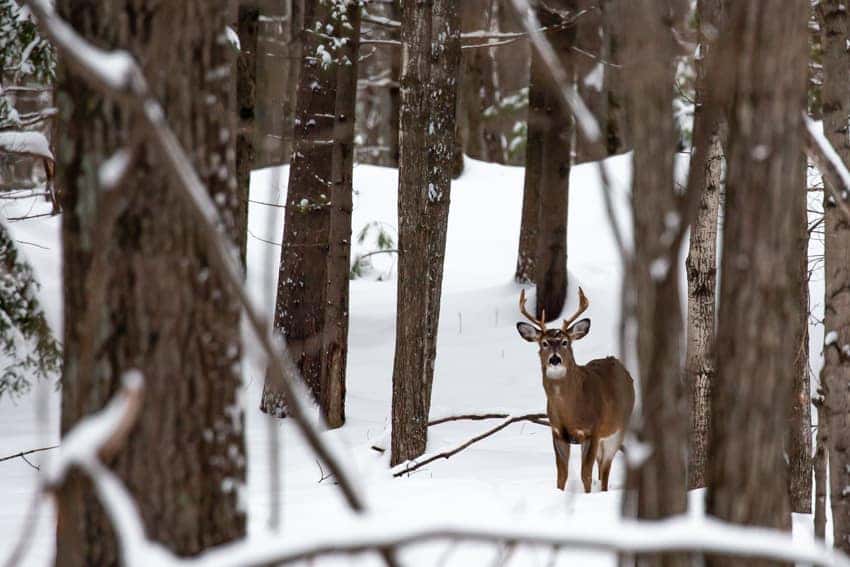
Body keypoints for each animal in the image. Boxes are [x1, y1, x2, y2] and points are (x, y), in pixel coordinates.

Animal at [512, 288, 632, 492]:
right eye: (544, 343)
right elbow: (561, 475)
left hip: (618, 429)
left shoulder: (592, 430)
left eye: (565, 342)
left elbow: (585, 475)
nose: (554, 359)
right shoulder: (557, 432)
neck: (571, 411)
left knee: (606, 468)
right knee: (601, 466)